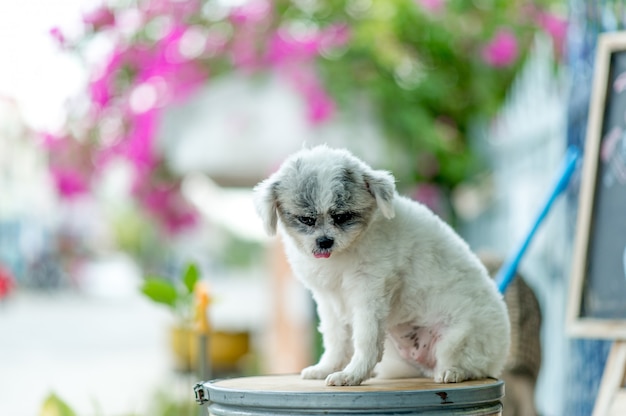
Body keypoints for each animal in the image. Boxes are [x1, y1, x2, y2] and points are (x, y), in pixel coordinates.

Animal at [251, 146, 510, 386]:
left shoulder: (371, 292)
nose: (324, 241)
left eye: (342, 217)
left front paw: (352, 375)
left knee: (471, 365)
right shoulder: (329, 300)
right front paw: (326, 368)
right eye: (306, 220)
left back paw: (454, 372)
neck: (345, 252)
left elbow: (366, 340)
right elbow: (336, 340)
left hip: (458, 338)